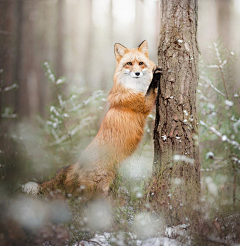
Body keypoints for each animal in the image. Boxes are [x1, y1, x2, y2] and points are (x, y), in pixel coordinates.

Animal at [22, 41, 162, 197]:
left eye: (141, 63)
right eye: (129, 63)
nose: (137, 73)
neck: (135, 87)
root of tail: (76, 164)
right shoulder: (143, 105)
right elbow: (151, 90)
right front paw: (155, 77)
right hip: (100, 185)